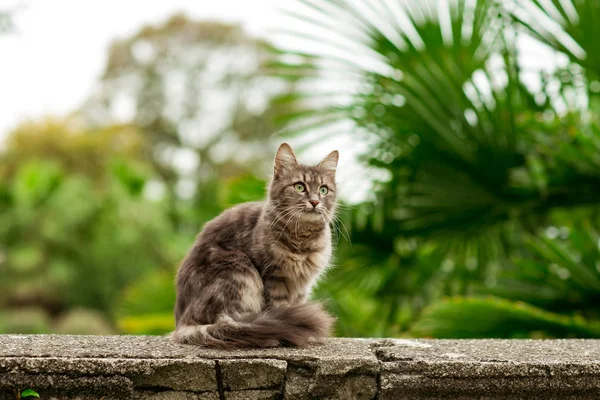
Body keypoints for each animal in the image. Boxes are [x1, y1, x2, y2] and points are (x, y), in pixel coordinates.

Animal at [172, 143, 338, 346]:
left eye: (323, 190)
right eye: (299, 187)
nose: (314, 201)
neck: (302, 241)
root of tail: (182, 322)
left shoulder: (302, 285)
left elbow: (296, 306)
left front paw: (308, 335)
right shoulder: (273, 277)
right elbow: (279, 307)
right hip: (238, 269)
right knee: (233, 321)